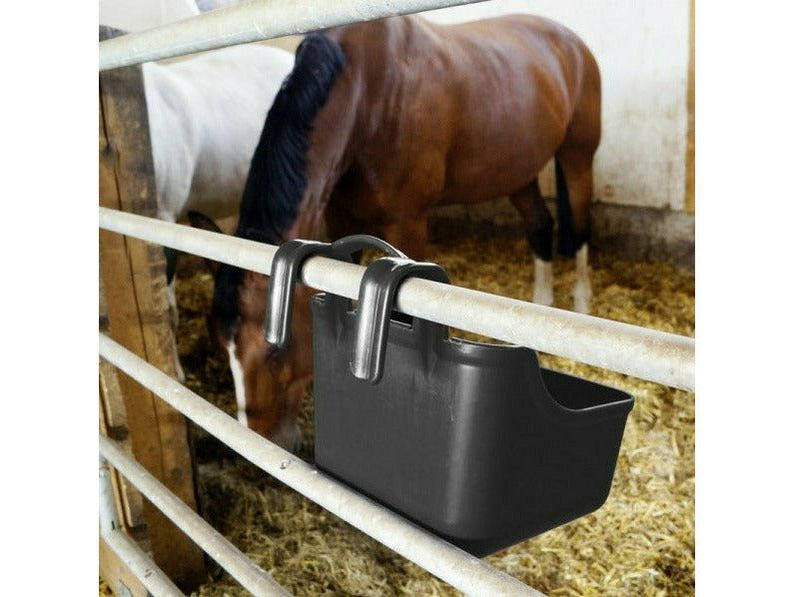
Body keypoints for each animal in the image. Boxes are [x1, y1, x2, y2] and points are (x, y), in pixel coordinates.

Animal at [190, 14, 601, 450]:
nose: (258, 442)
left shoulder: (408, 224)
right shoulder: (341, 220)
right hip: (518, 171)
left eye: (273, 351)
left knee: (581, 228)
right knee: (540, 226)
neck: (368, 97)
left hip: (578, 156)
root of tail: (570, 40)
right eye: (220, 346)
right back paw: (543, 305)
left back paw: (580, 305)